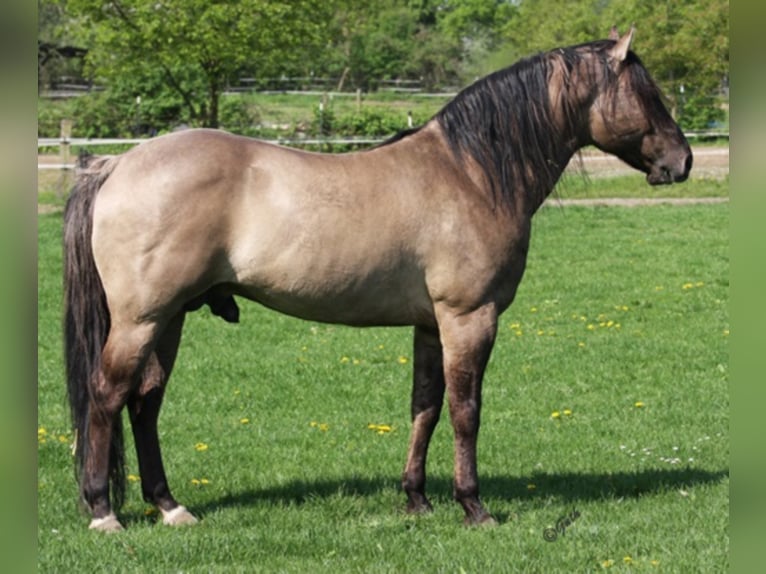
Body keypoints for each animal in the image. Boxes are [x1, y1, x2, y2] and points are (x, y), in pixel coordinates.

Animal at [63, 27, 691, 532]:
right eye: (649, 94)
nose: (681, 162)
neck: (471, 173)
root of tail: (116, 164)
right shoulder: (470, 318)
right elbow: (465, 411)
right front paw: (474, 507)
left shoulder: (431, 326)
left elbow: (425, 406)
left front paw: (416, 500)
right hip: (141, 319)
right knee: (107, 395)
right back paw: (103, 512)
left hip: (170, 318)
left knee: (145, 403)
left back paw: (170, 507)